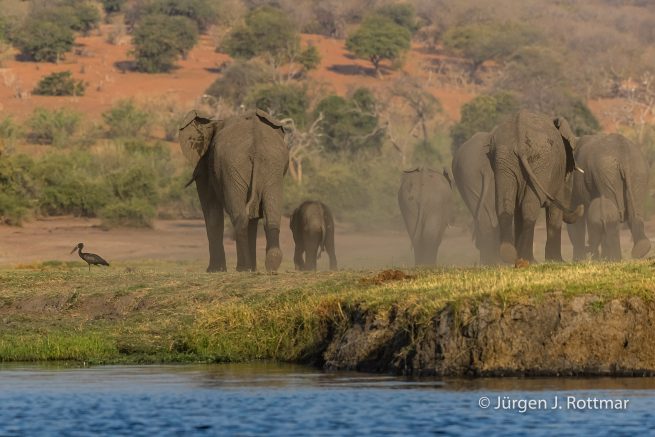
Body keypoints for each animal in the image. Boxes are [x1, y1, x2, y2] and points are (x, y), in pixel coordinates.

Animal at [179, 109, 288, 272]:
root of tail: (256, 141)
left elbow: (212, 211)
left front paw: (214, 270)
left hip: (232, 168)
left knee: (240, 216)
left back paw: (243, 268)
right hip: (271, 165)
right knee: (271, 212)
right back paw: (271, 263)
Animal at [490, 109, 583, 263]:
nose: (580, 207)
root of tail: (519, 136)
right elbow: (555, 208)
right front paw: (557, 261)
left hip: (504, 158)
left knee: (505, 203)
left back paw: (510, 255)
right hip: (542, 162)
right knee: (529, 206)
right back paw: (529, 260)